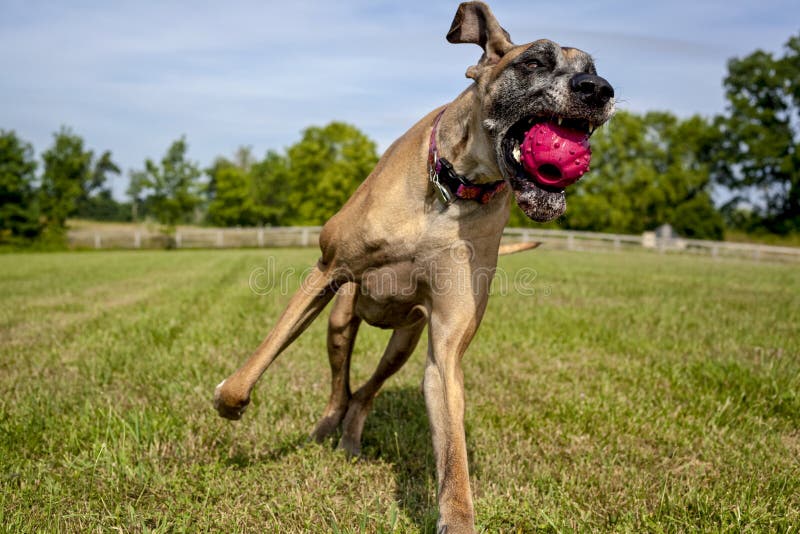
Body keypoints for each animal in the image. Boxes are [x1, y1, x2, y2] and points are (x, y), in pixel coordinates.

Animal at [212, 3, 612, 532]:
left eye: (592, 69)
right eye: (533, 63)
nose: (599, 90)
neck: (452, 190)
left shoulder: (445, 345)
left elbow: (453, 449)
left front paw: (457, 516)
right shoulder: (325, 270)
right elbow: (259, 360)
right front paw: (228, 401)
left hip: (404, 341)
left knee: (364, 391)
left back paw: (350, 438)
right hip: (341, 318)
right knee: (340, 387)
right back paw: (325, 428)